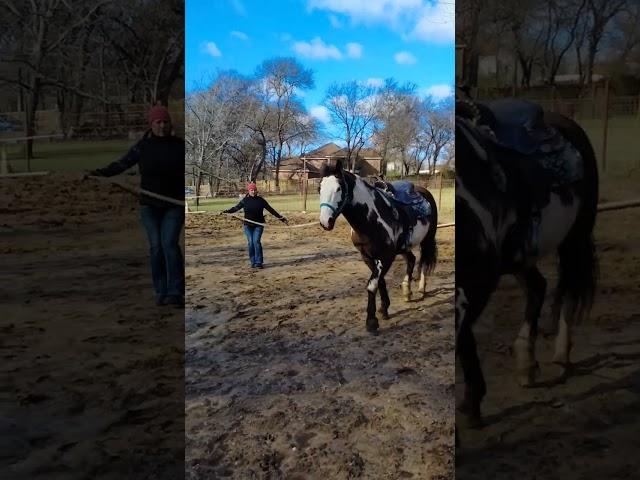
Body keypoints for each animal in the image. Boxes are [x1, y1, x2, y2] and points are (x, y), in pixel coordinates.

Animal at [318, 160, 438, 334]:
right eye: (319, 189)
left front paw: (371, 321)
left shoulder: (387, 256)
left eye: (339, 188)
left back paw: (421, 288)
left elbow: (372, 284)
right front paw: (384, 309)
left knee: (423, 260)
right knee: (412, 259)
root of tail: (424, 192)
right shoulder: (367, 256)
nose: (325, 222)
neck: (370, 220)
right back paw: (407, 291)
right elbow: (380, 281)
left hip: (427, 239)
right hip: (403, 247)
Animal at [456, 95, 600, 426]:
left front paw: (472, 404)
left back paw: (560, 354)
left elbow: (463, 337)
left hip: (575, 237)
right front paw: (471, 403)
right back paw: (526, 364)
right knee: (538, 286)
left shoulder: (482, 277)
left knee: (569, 287)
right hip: (519, 256)